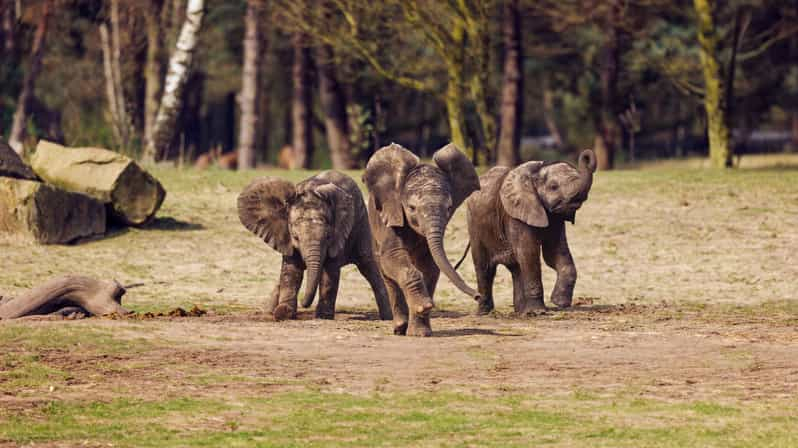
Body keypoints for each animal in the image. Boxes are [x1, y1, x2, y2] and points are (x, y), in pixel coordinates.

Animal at [238, 170, 394, 320]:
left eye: (328, 237)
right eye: (295, 237)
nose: (304, 304)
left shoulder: (339, 234)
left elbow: (329, 272)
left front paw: (323, 316)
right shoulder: (285, 237)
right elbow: (291, 270)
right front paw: (283, 314)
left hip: (362, 223)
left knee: (368, 265)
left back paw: (388, 317)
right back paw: (268, 311)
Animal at [364, 144, 482, 336]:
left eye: (449, 208)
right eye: (411, 208)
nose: (478, 296)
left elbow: (430, 266)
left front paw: (420, 332)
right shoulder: (390, 215)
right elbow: (392, 256)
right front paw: (424, 305)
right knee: (387, 275)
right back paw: (399, 328)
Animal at [466, 150, 596, 316]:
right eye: (553, 187)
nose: (586, 155)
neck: (534, 174)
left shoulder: (554, 217)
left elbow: (554, 253)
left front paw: (559, 302)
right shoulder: (515, 214)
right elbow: (529, 253)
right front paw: (540, 312)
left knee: (516, 267)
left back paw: (521, 312)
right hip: (474, 225)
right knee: (485, 268)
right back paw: (484, 313)